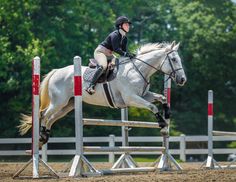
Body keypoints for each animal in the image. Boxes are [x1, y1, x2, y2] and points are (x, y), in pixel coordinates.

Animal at [18, 41, 186, 146]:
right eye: (173, 59)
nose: (182, 80)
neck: (137, 69)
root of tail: (56, 71)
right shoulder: (131, 99)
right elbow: (153, 107)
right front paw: (163, 125)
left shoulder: (144, 95)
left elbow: (162, 98)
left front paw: (167, 116)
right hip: (59, 102)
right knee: (44, 114)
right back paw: (41, 136)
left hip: (68, 105)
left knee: (51, 118)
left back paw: (45, 136)